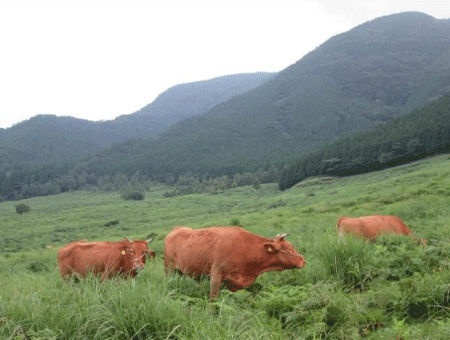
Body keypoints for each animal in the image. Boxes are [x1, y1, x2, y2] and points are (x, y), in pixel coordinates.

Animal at [163, 227, 308, 298]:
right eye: (288, 248)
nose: (302, 260)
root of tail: (175, 230)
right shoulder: (216, 275)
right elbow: (213, 299)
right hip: (169, 270)